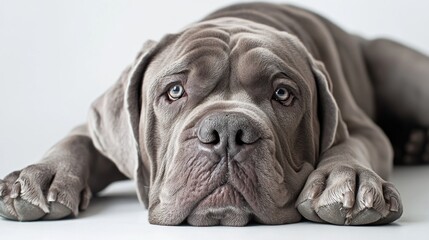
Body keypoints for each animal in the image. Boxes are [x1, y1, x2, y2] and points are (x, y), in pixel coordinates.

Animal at [5, 2, 428, 226]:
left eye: (282, 94)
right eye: (174, 91)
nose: (226, 131)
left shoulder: (361, 128)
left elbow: (351, 145)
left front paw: (347, 178)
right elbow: (78, 140)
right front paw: (43, 176)